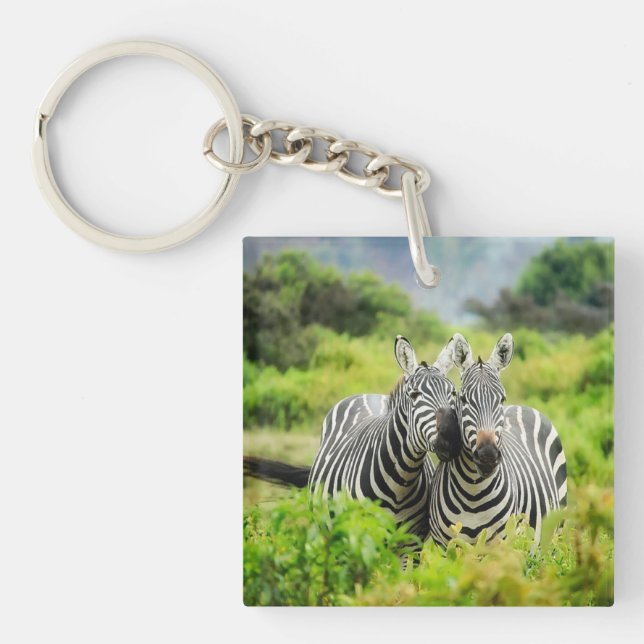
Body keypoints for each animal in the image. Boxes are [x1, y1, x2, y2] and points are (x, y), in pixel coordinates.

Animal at [245, 335, 462, 545]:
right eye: (415, 395)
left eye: (453, 393)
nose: (452, 437)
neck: (401, 482)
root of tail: (367, 394)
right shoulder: (360, 535)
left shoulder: (411, 542)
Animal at [428, 333, 568, 548]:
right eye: (463, 399)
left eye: (502, 399)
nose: (488, 455)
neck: (473, 493)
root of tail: (523, 406)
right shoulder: (444, 547)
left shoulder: (502, 545)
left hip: (554, 533)